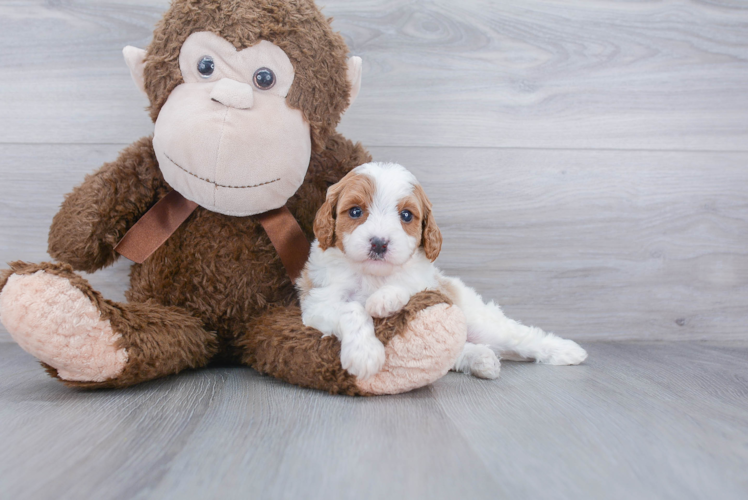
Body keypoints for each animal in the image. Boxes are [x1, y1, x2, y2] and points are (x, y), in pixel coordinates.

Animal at [296, 163, 588, 378]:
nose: (379, 243)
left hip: (479, 319)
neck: (373, 275)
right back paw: (482, 359)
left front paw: (384, 299)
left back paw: (566, 351)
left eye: (406, 216)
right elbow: (352, 308)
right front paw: (364, 352)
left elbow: (404, 288)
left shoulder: (427, 285)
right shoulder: (318, 304)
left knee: (520, 337)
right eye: (355, 211)